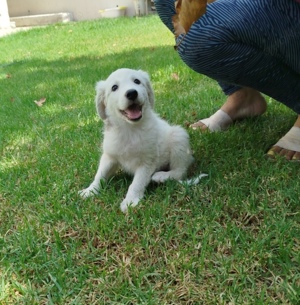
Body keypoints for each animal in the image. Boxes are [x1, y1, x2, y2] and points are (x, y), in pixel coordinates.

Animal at [79, 69, 196, 211]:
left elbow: (137, 183)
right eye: (114, 87)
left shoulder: (147, 161)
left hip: (178, 137)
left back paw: (161, 176)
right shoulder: (109, 156)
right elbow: (100, 175)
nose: (132, 93)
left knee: (180, 171)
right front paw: (90, 190)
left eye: (137, 81)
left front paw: (130, 201)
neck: (130, 129)